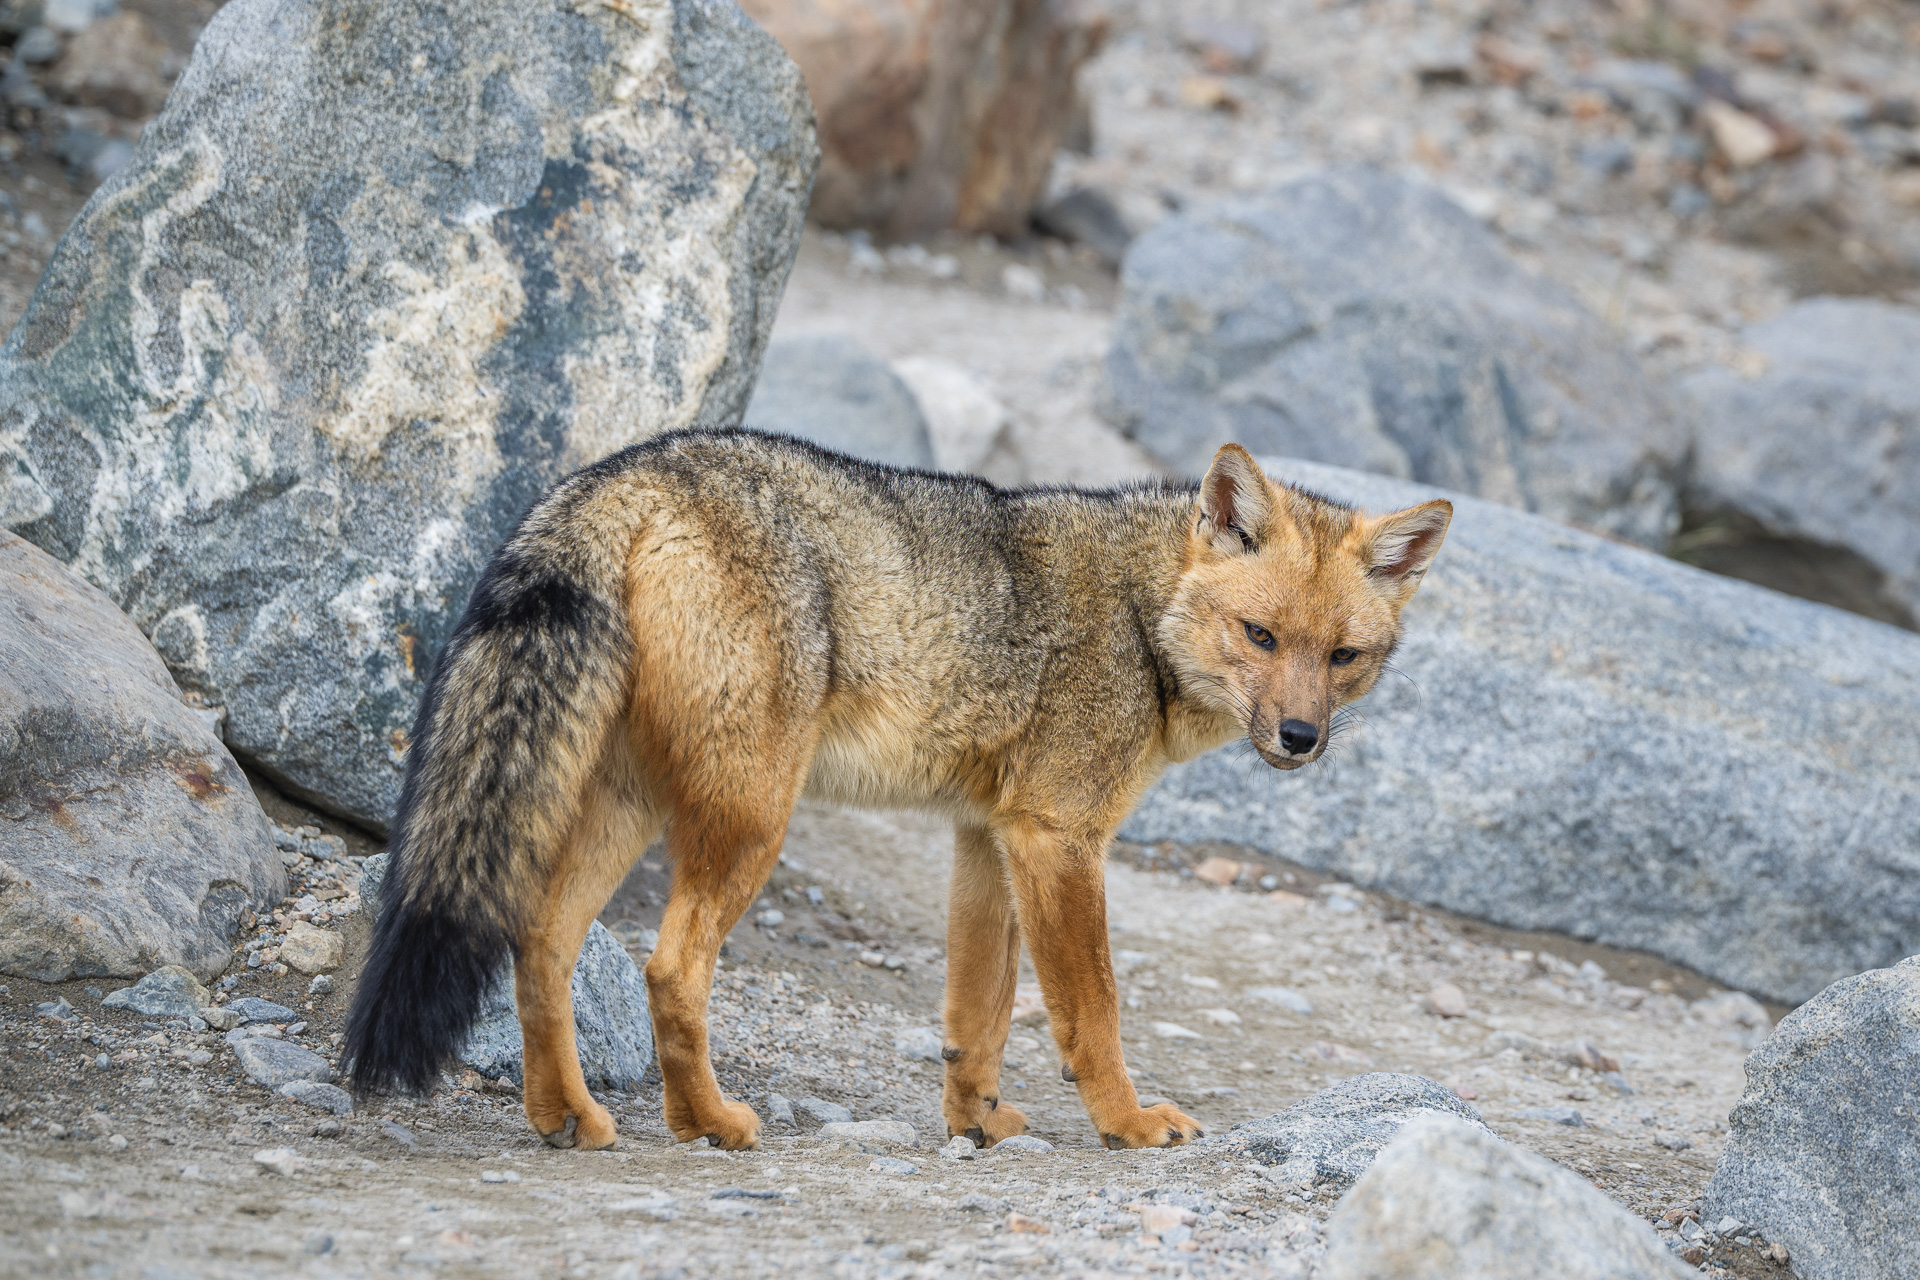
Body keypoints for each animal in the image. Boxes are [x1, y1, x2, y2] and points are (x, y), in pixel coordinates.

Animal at [349, 427, 1451, 1151]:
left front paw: (977, 1122)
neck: (1144, 615)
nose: (1301, 739)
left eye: (1343, 657)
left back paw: (567, 1116)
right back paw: (707, 1121)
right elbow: (1089, 1012)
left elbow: (979, 1012)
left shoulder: (987, 837)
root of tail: (637, 466)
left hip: (630, 809)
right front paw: (1127, 1122)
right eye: (1259, 636)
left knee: (540, 938)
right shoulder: (1059, 837)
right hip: (750, 820)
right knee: (669, 968)